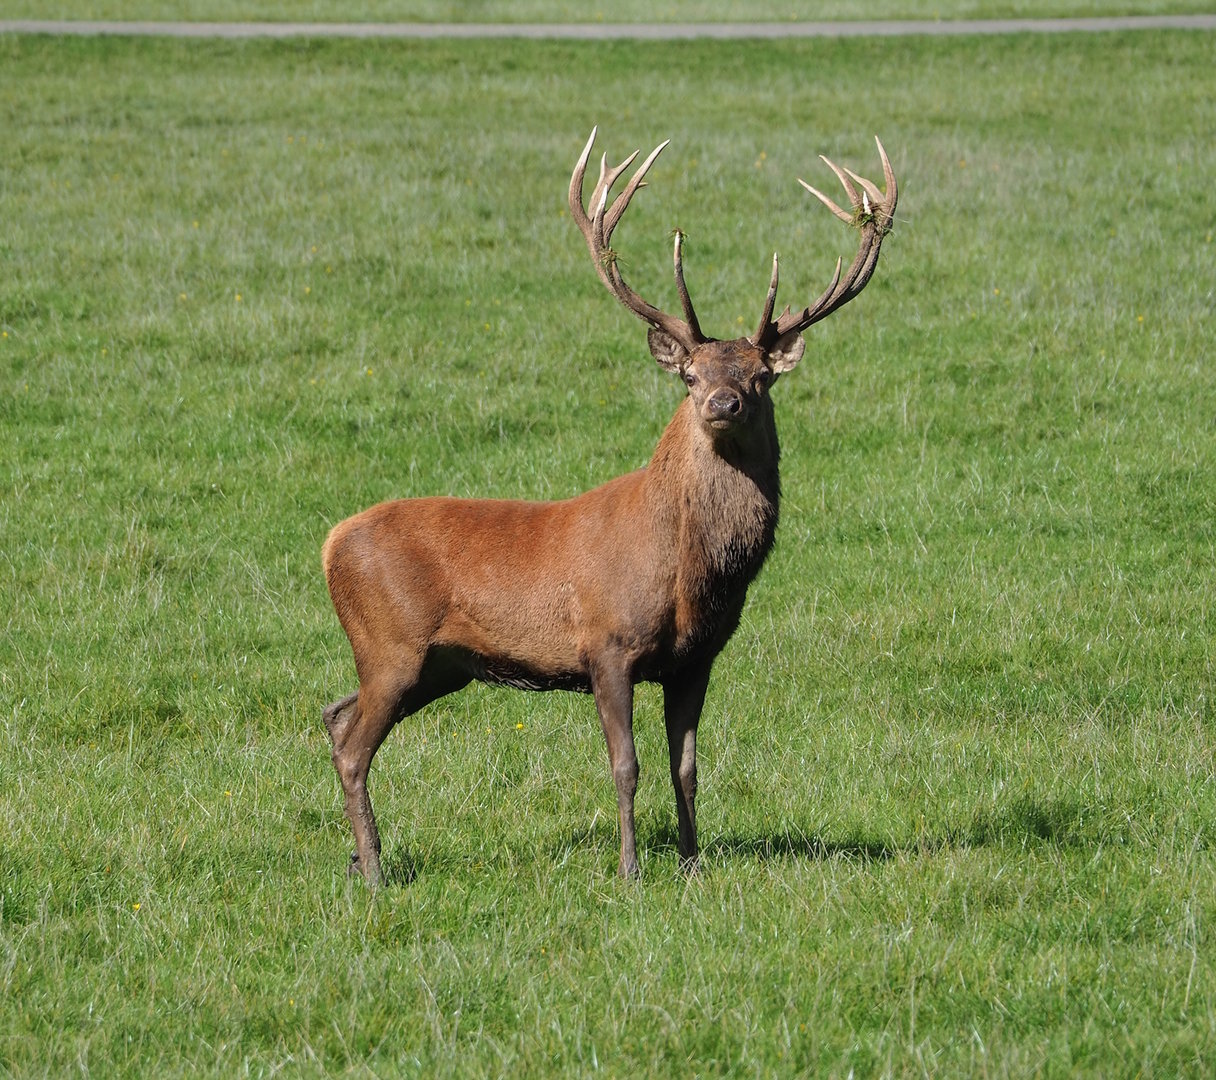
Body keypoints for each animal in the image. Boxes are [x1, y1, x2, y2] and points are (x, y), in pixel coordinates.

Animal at [321, 128, 897, 885]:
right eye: (690, 376)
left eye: (760, 376)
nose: (723, 403)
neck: (690, 575)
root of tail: (329, 545)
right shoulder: (607, 645)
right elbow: (626, 766)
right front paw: (629, 870)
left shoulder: (696, 658)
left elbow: (687, 768)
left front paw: (692, 864)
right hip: (391, 645)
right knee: (354, 745)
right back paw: (376, 871)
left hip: (435, 667)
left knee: (334, 715)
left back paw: (359, 859)